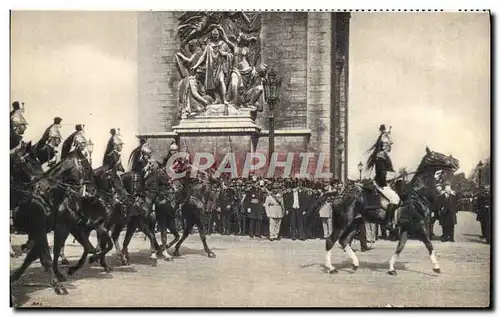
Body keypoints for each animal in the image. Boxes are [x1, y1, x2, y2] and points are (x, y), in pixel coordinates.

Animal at [322, 148, 458, 274]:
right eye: (438, 155)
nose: (456, 162)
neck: (416, 195)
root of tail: (339, 195)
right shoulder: (419, 226)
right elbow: (429, 244)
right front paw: (436, 267)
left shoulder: (406, 229)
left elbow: (399, 248)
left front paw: (391, 268)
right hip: (343, 222)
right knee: (330, 241)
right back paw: (331, 268)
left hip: (355, 223)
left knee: (344, 241)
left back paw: (355, 264)